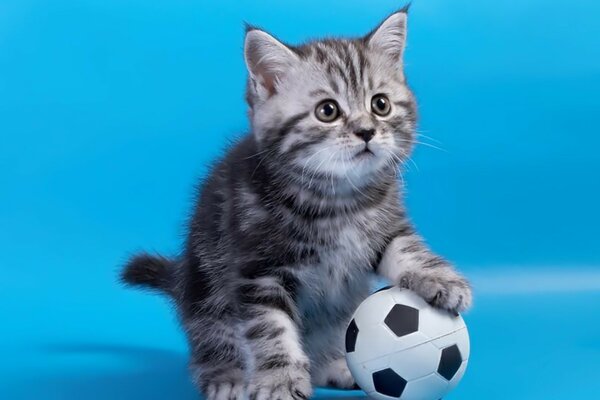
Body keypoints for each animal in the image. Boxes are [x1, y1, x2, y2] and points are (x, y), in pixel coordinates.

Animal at [120, 8, 468, 400]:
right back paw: (227, 376)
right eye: (327, 111)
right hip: (206, 290)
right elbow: (272, 329)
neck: (337, 199)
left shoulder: (384, 224)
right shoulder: (259, 269)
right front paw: (280, 381)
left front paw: (441, 279)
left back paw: (334, 365)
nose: (366, 131)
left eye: (380, 104)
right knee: (211, 339)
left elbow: (407, 249)